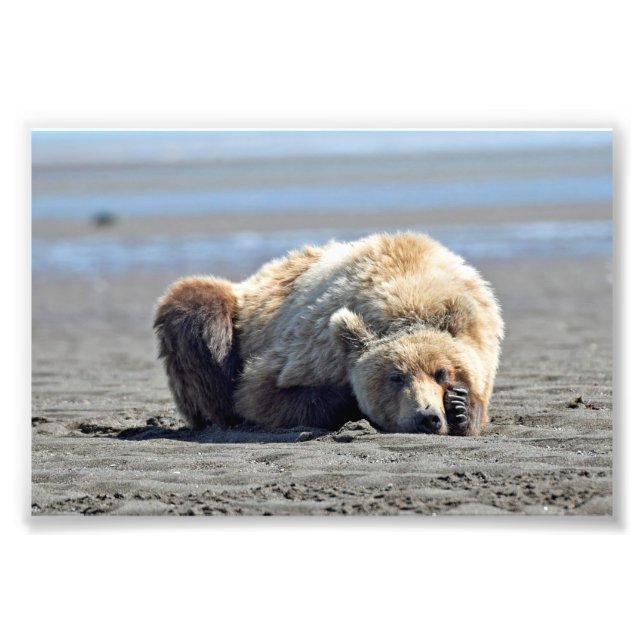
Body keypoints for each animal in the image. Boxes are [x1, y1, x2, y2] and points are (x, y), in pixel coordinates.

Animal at [154, 232, 504, 436]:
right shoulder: (315, 346)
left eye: (442, 372)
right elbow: (259, 394)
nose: (427, 417)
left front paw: (461, 408)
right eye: (395, 376)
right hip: (232, 315)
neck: (412, 289)